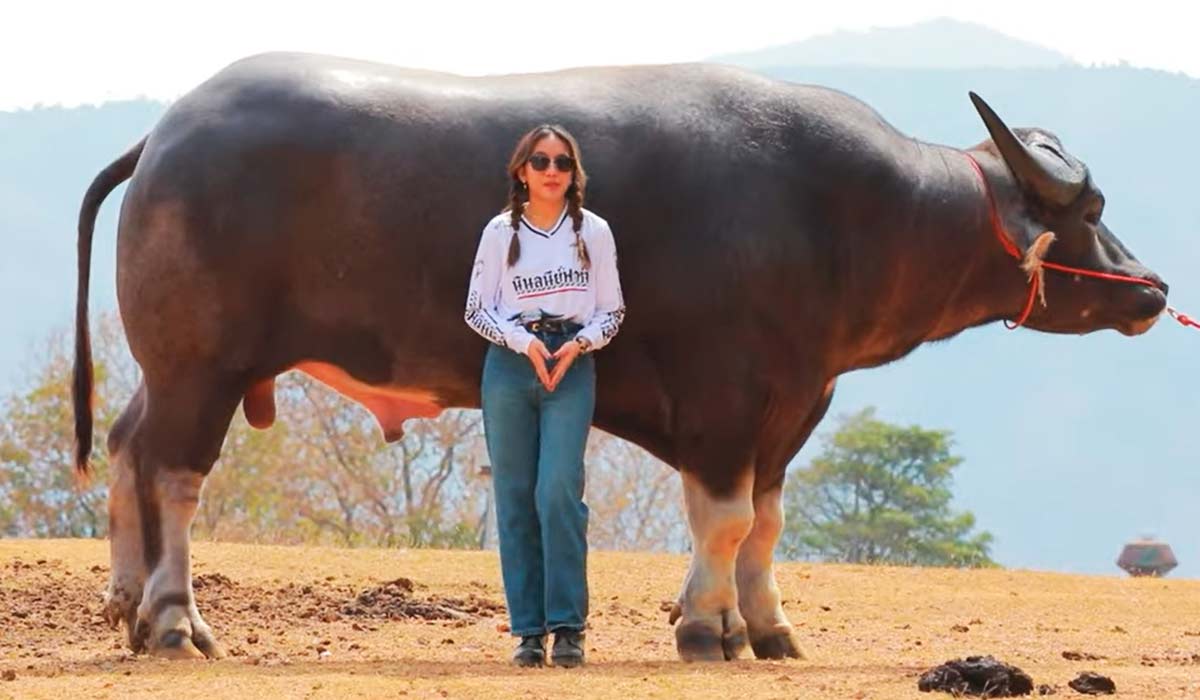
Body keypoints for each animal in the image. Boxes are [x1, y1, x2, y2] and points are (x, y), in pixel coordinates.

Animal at [70, 53, 1166, 662]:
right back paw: (171, 621)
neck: (848, 215)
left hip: (169, 367)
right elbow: (725, 518)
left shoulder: (790, 405)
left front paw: (766, 629)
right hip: (202, 365)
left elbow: (766, 522)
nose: (1153, 290)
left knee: (126, 449)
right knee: (174, 475)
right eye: (1095, 209)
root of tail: (165, 136)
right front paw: (707, 630)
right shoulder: (726, 400)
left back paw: (122, 600)